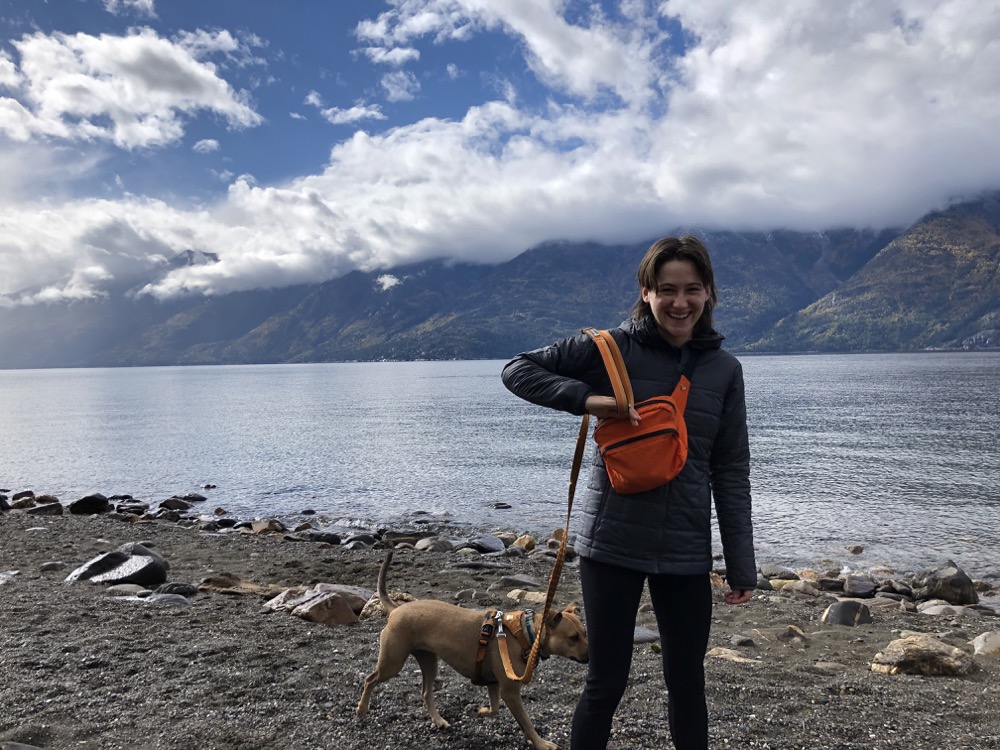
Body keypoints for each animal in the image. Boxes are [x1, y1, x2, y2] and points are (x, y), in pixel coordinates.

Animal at [358, 548, 584, 748]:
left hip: (429, 661)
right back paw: (361, 709)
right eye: (573, 638)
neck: (525, 632)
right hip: (392, 662)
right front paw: (541, 743)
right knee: (370, 679)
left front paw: (478, 711)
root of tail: (396, 609)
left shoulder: (493, 683)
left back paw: (438, 720)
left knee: (425, 692)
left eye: (585, 633)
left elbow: (494, 709)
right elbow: (526, 722)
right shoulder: (510, 691)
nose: (589, 657)